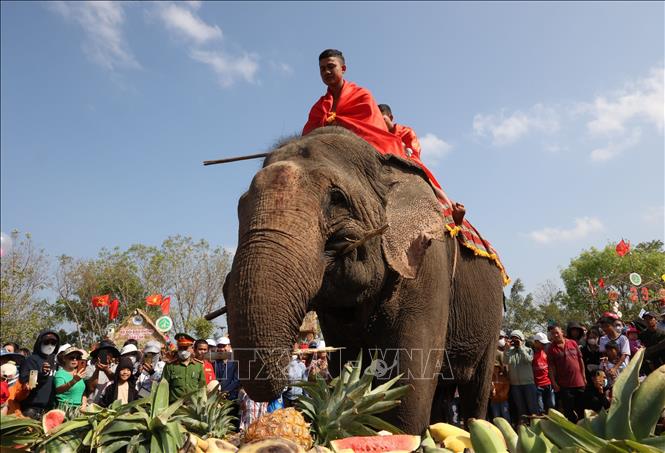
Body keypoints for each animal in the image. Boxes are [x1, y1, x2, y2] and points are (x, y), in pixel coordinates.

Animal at [223, 125, 504, 432]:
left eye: (337, 199)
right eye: (240, 206)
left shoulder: (427, 260)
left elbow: (411, 374)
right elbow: (345, 361)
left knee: (477, 385)